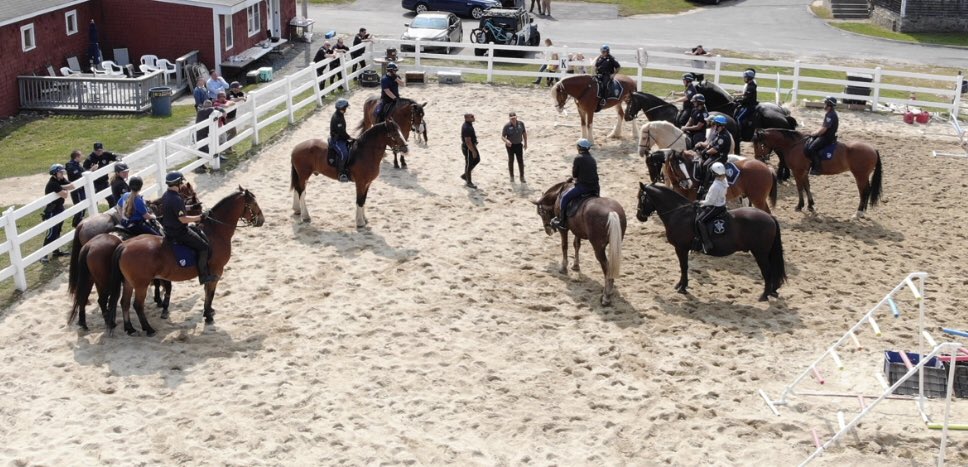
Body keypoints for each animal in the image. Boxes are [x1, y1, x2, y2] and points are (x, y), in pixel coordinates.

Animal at [102, 186, 264, 336]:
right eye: (254, 203)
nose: (262, 220)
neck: (215, 232)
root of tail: (124, 245)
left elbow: (207, 292)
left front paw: (209, 311)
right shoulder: (216, 271)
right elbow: (210, 293)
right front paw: (208, 315)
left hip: (129, 282)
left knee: (124, 303)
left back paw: (130, 328)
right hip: (141, 284)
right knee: (137, 305)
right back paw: (148, 329)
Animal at [528, 180, 628, 308]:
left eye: (541, 212)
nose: (548, 231)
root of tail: (612, 212)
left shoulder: (563, 229)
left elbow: (564, 246)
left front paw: (563, 267)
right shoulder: (577, 230)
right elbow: (576, 245)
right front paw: (575, 265)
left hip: (598, 247)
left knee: (606, 266)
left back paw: (606, 296)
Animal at [636, 184, 788, 304]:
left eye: (640, 197)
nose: (639, 216)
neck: (679, 213)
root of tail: (769, 217)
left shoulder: (681, 248)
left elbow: (684, 267)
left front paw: (683, 288)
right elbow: (684, 267)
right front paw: (680, 285)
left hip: (760, 253)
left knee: (767, 272)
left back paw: (764, 295)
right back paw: (773, 291)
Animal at [748, 129, 884, 218]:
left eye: (758, 144)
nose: (758, 159)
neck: (794, 145)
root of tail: (873, 149)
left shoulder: (798, 172)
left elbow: (800, 188)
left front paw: (799, 206)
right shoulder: (803, 172)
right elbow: (807, 187)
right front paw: (810, 205)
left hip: (860, 175)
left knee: (864, 191)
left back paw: (859, 212)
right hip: (863, 176)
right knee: (867, 190)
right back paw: (863, 211)